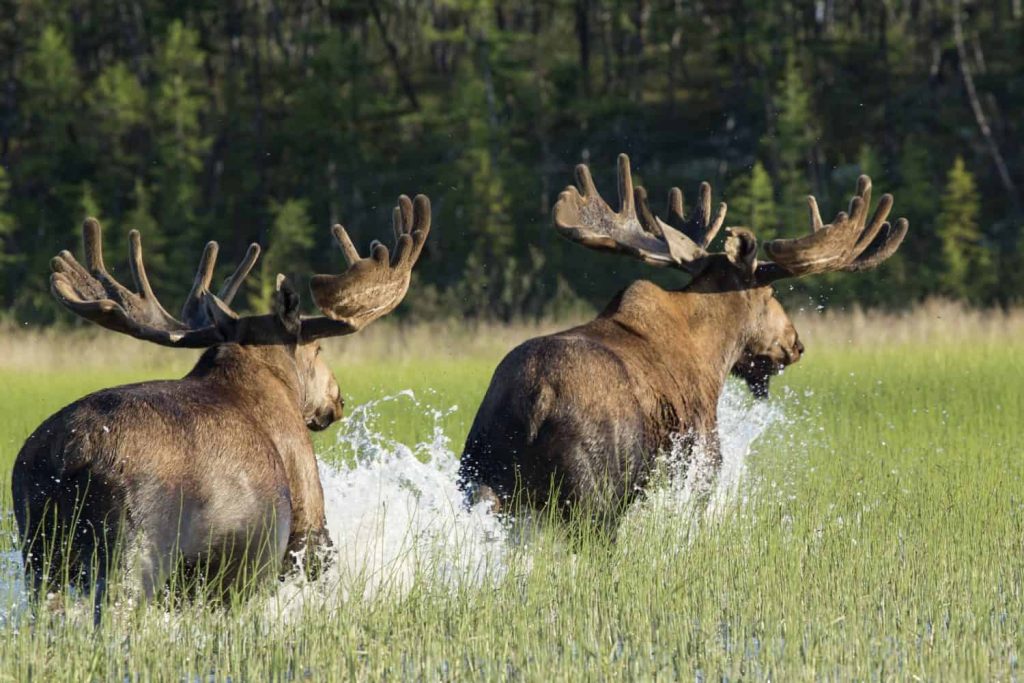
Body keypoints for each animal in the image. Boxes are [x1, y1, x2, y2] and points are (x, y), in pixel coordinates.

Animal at [12, 195, 431, 618]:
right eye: (318, 349)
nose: (336, 398)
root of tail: (69, 454)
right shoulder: (308, 525)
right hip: (130, 548)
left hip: (38, 550)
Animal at [459, 154, 907, 526]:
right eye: (769, 294)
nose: (795, 344)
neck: (713, 355)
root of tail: (534, 400)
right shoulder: (703, 451)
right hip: (592, 494)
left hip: (480, 477)